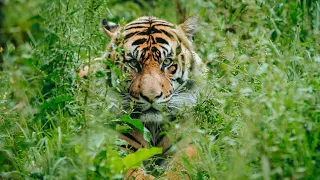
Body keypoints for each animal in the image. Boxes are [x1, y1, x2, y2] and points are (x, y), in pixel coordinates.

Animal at [79, 16, 206, 179]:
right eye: (133, 63)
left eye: (167, 62)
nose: (151, 96)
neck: (153, 127)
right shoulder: (120, 148)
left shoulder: (190, 143)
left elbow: (181, 167)